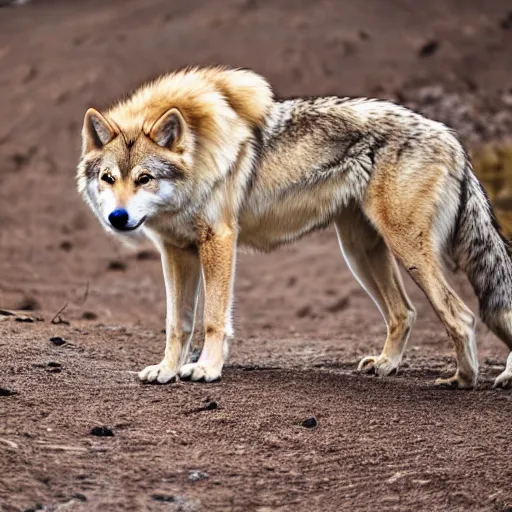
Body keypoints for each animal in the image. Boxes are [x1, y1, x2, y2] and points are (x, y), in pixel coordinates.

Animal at [77, 66, 512, 390]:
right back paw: (388, 365)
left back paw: (464, 380)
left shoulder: (218, 240)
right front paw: (167, 371)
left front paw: (206, 368)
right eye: (109, 178)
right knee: (404, 312)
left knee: (462, 316)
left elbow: (213, 319)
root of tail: (452, 138)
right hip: (360, 252)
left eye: (145, 178)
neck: (199, 150)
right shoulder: (175, 252)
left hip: (406, 250)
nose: (118, 218)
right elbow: (176, 323)